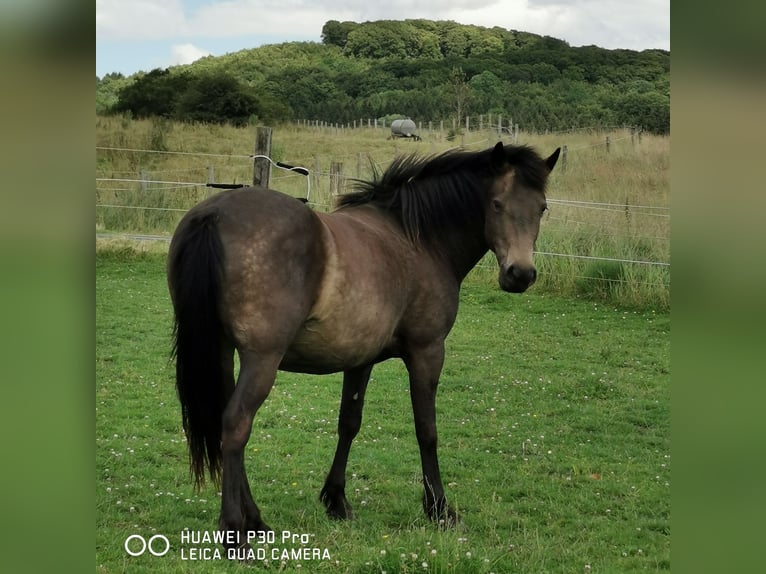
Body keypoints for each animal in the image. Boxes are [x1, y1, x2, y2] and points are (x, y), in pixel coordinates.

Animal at [168, 142, 560, 548]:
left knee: (225, 421)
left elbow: (349, 423)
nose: (520, 274)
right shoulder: (427, 352)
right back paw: (236, 531)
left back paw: (257, 521)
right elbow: (427, 431)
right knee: (236, 424)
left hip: (223, 352)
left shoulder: (360, 360)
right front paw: (439, 510)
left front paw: (336, 500)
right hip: (261, 360)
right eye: (496, 204)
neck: (417, 239)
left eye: (542, 207)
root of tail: (213, 214)